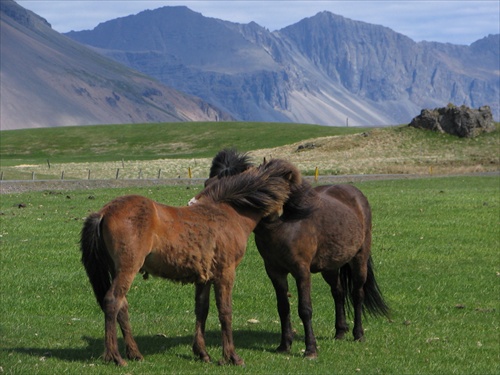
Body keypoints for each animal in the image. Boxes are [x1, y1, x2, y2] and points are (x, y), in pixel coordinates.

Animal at [80, 159, 302, 368]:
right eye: (292, 192)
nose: (282, 218)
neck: (229, 213)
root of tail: (104, 211)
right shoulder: (225, 273)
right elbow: (225, 311)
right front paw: (231, 356)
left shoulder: (204, 278)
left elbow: (202, 310)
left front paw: (202, 353)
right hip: (128, 268)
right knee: (112, 301)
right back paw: (115, 356)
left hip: (116, 270)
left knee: (122, 306)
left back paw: (135, 353)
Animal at [205, 149, 388, 358]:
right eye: (207, 183)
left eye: (234, 185)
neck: (285, 223)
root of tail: (356, 195)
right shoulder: (275, 272)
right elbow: (283, 307)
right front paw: (284, 345)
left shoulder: (301, 271)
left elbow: (305, 309)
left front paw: (310, 349)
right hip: (330, 266)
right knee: (338, 292)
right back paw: (340, 331)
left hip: (359, 260)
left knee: (357, 294)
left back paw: (358, 334)